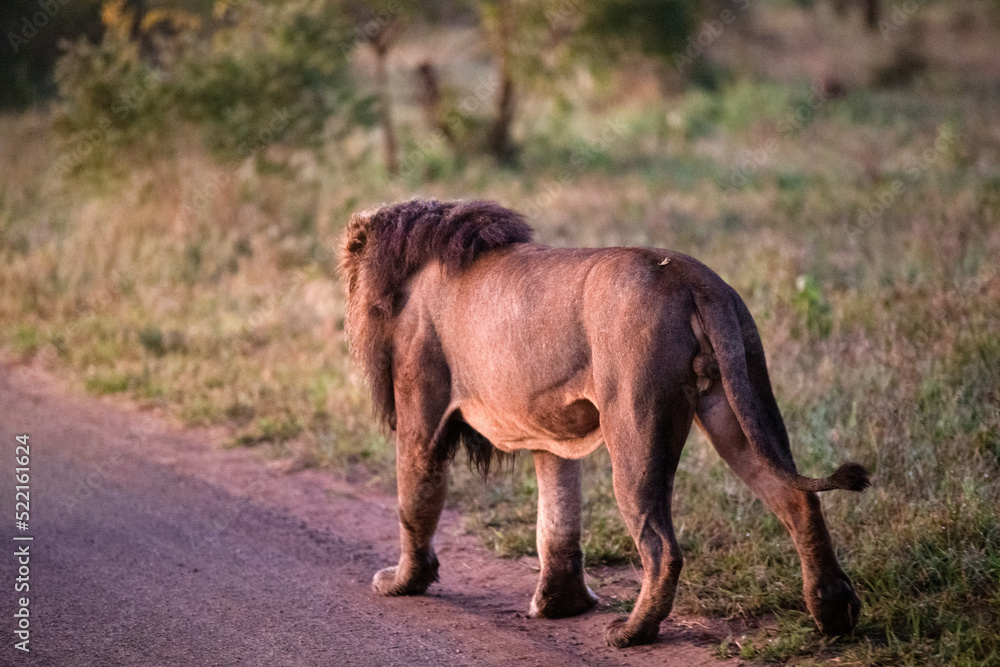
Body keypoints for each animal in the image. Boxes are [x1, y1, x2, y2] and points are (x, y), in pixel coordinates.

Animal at [338, 199, 869, 648]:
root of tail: (691, 277)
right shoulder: (549, 432)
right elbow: (558, 519)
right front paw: (562, 605)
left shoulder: (421, 414)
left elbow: (415, 501)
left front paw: (402, 583)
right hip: (739, 402)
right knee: (798, 500)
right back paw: (833, 614)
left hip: (636, 426)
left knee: (662, 546)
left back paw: (632, 633)